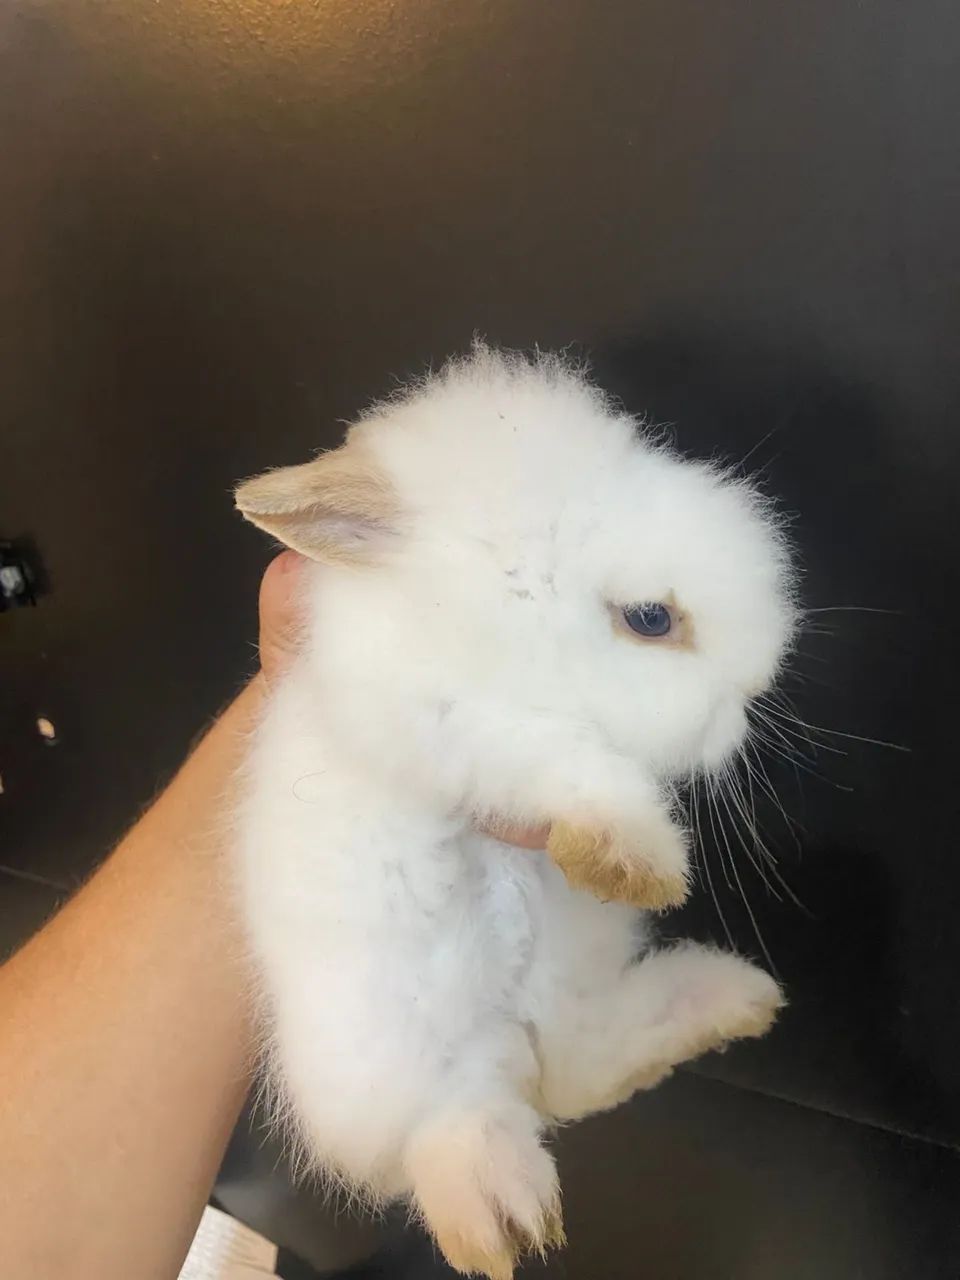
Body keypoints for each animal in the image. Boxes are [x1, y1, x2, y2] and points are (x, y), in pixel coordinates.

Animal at [234, 344, 797, 1280]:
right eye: (651, 618)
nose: (757, 685)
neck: (501, 633)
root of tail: (514, 1030)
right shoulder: (452, 729)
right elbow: (562, 760)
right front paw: (643, 858)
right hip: (400, 1038)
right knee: (452, 1117)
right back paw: (499, 1217)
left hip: (568, 984)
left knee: (575, 1067)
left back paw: (729, 997)